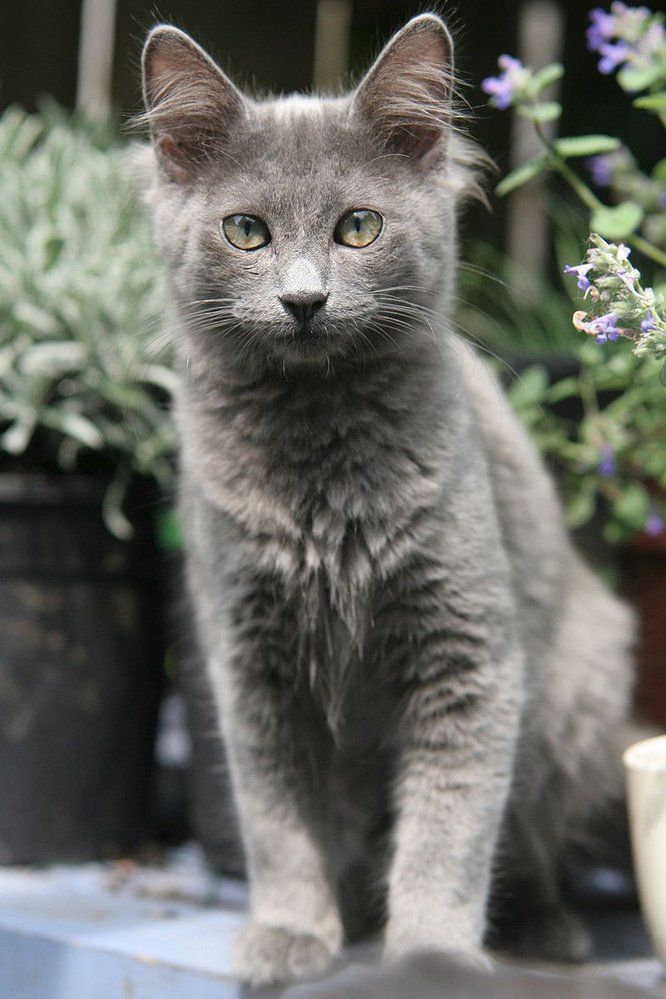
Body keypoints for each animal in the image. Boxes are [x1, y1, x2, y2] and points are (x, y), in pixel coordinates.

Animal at [139, 15, 632, 992]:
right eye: (246, 231)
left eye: (358, 227)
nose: (303, 298)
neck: (316, 460)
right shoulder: (251, 665)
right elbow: (278, 823)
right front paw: (291, 931)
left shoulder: (468, 655)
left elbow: (450, 834)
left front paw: (435, 953)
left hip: (580, 689)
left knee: (531, 839)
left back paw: (546, 926)